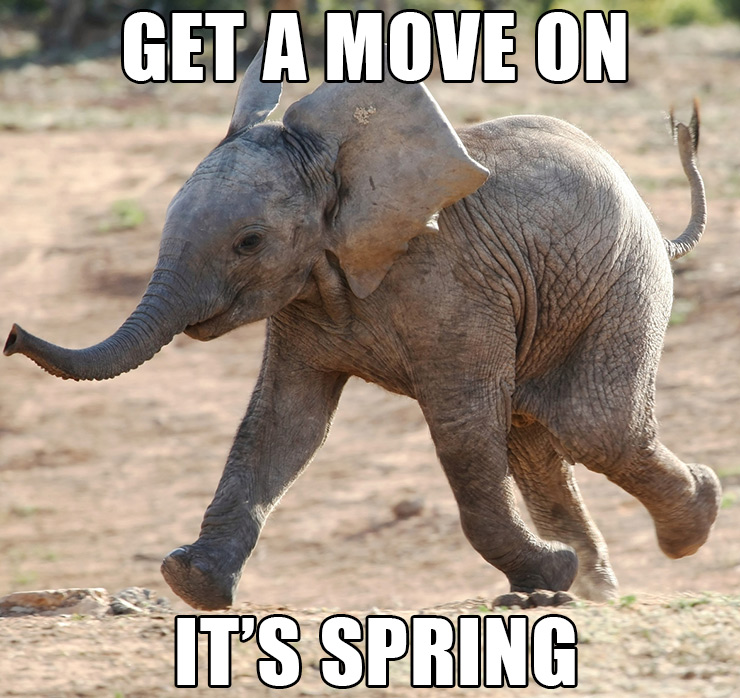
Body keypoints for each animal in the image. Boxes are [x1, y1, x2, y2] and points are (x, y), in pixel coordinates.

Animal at [5, 47, 721, 610]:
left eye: (248, 242)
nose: (10, 335)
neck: (338, 168)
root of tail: (657, 224)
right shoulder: (304, 297)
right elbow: (284, 423)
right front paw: (190, 581)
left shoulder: (451, 286)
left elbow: (462, 427)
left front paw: (550, 571)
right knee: (536, 437)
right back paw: (592, 588)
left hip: (622, 284)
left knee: (591, 424)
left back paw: (692, 520)